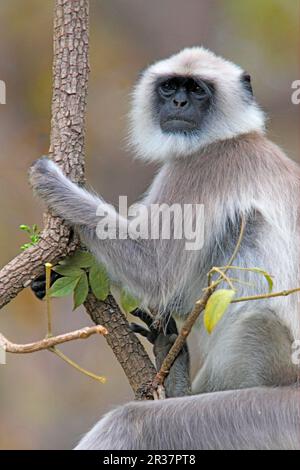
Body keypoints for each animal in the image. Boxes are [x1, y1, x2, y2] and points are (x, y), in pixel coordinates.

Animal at [28, 48, 300, 452]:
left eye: (197, 90)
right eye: (170, 87)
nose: (179, 103)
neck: (235, 136)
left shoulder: (204, 165)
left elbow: (155, 272)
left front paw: (53, 184)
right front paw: (49, 277)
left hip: (271, 414)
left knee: (134, 424)